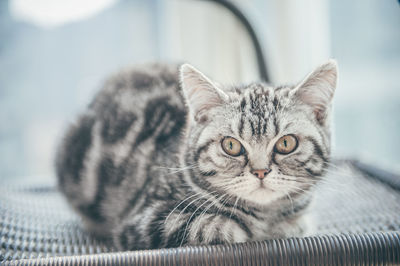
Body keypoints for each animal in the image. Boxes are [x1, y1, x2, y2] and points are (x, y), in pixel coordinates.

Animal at [56, 59, 338, 249]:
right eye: (231, 146)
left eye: (286, 143)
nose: (260, 171)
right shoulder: (144, 220)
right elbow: (214, 226)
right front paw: (248, 228)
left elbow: (298, 224)